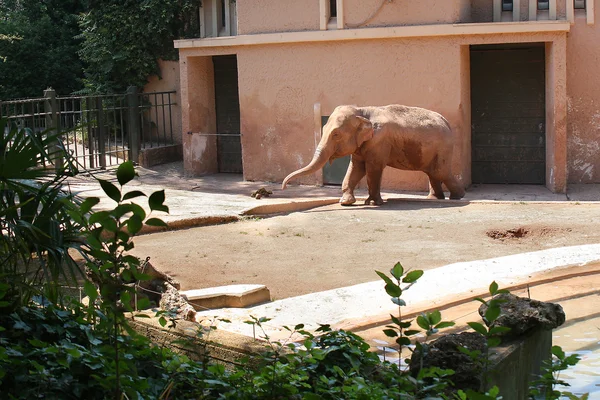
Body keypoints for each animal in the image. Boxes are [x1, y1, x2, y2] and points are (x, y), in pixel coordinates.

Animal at [280, 104, 464, 205]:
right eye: (324, 129)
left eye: (336, 134)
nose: (283, 187)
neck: (362, 110)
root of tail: (447, 123)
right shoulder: (362, 145)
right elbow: (356, 168)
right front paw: (346, 202)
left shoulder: (378, 142)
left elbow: (372, 169)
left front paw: (373, 202)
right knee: (432, 172)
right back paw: (434, 199)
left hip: (443, 147)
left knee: (440, 171)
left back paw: (457, 197)